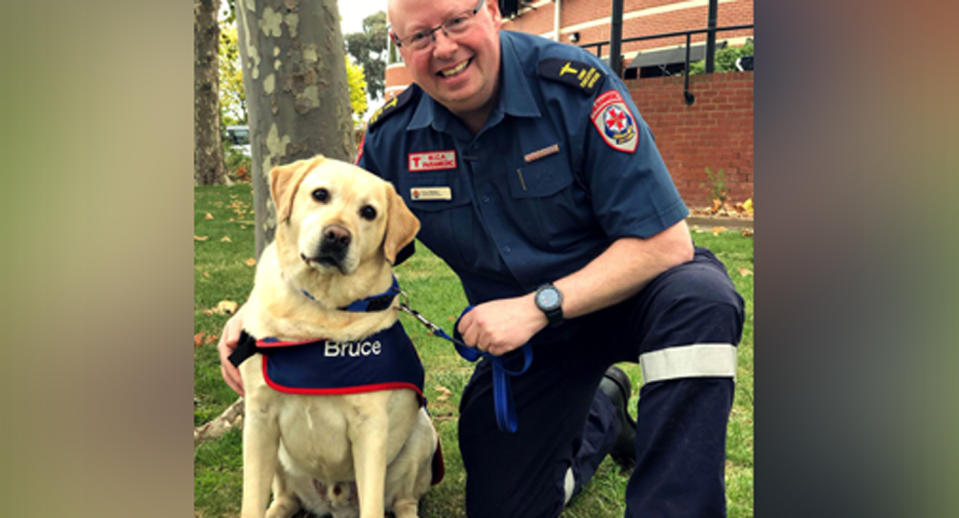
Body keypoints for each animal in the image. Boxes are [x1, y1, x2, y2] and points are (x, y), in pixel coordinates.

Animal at [236, 155, 438, 518]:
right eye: (320, 194)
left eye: (369, 212)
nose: (337, 235)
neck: (318, 310)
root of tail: (335, 502)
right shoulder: (258, 417)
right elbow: (251, 502)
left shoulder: (370, 428)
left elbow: (373, 506)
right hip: (279, 458)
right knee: (284, 498)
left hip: (421, 434)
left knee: (405, 501)